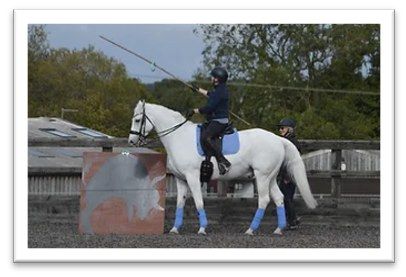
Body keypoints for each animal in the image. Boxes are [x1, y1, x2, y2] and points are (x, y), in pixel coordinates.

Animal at [129, 100, 318, 234]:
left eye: (138, 120)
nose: (131, 141)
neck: (179, 137)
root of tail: (278, 139)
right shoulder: (181, 179)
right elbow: (180, 203)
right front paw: (175, 229)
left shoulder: (192, 176)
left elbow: (198, 201)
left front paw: (202, 228)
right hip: (270, 177)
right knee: (279, 198)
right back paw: (278, 229)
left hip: (262, 176)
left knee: (264, 200)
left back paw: (251, 230)